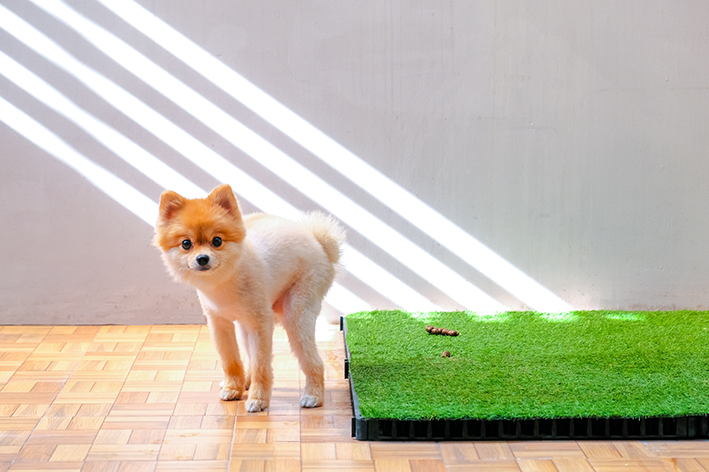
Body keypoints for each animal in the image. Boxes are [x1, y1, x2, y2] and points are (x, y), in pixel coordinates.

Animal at [153, 183, 344, 412]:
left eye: (217, 241)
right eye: (186, 244)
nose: (202, 258)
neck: (226, 280)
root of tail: (319, 243)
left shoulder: (261, 324)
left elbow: (262, 365)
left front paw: (258, 399)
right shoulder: (219, 323)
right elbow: (230, 360)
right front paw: (233, 388)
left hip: (296, 313)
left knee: (313, 362)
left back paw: (313, 396)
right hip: (245, 325)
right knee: (249, 357)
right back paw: (245, 381)